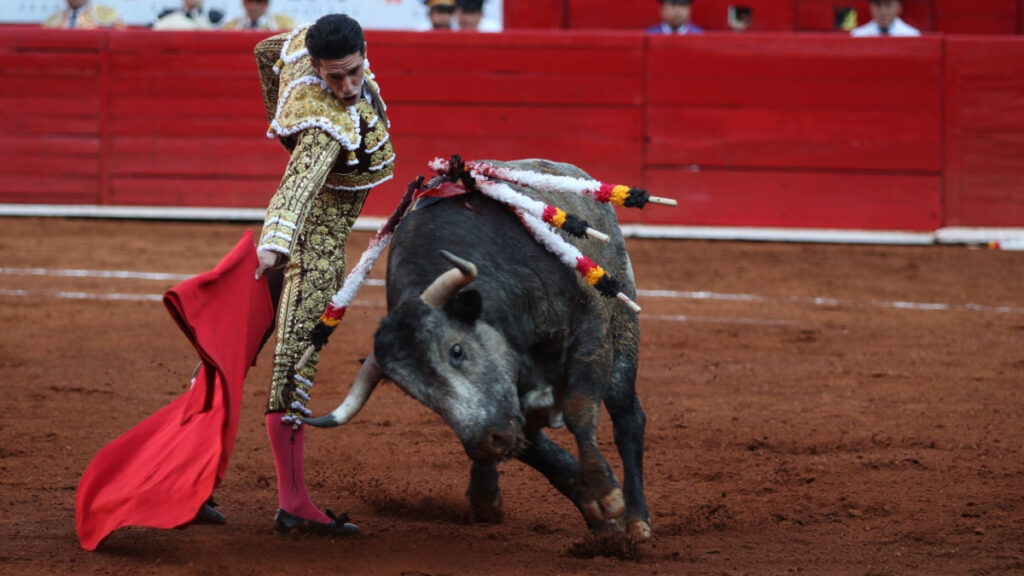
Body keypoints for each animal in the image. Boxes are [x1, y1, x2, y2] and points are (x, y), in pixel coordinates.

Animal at [307, 157, 651, 537]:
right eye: (416, 393)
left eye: (456, 351)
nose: (486, 443)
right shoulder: (508, 411)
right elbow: (542, 453)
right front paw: (593, 509)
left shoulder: (589, 332)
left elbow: (580, 411)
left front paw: (605, 496)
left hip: (623, 324)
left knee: (627, 419)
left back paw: (637, 519)